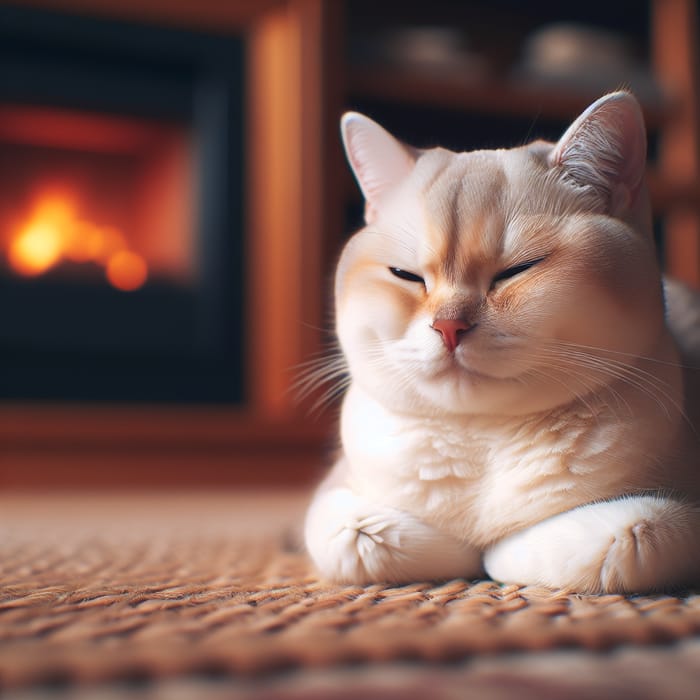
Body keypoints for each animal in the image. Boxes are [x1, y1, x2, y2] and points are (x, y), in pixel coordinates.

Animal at [304, 93, 700, 592]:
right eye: (406, 275)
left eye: (516, 270)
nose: (449, 327)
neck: (482, 441)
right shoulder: (337, 505)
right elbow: (365, 542)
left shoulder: (657, 523)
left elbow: (607, 542)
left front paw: (493, 552)